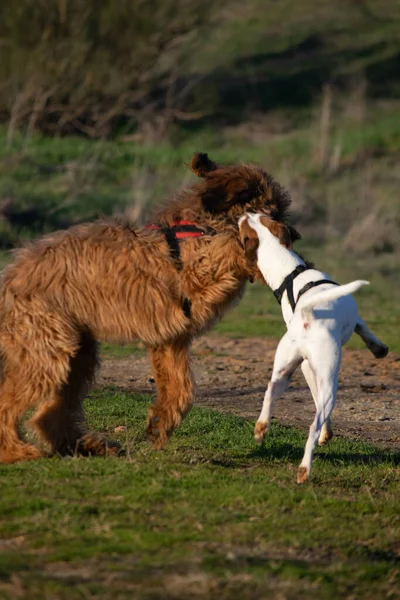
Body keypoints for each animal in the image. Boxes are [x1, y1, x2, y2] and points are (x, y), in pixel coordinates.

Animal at [0, 152, 300, 462]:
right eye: (274, 211)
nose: (294, 234)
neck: (197, 228)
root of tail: (8, 280)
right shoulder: (192, 281)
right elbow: (229, 251)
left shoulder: (170, 338)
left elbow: (182, 388)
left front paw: (160, 425)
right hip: (46, 349)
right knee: (9, 403)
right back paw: (15, 450)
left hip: (77, 353)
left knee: (49, 415)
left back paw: (89, 447)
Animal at [239, 212, 390, 482]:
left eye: (259, 217)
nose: (243, 213)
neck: (292, 273)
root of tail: (309, 314)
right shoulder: (351, 327)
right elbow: (364, 329)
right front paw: (379, 348)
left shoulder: (306, 367)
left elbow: (314, 397)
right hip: (330, 379)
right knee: (314, 422)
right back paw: (304, 468)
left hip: (284, 370)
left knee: (270, 392)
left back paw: (261, 428)